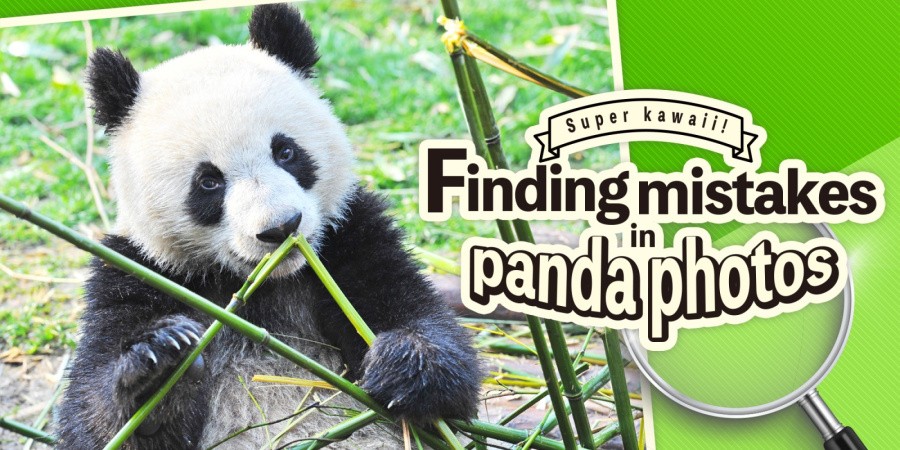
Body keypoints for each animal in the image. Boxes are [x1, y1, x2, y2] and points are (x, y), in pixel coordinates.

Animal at [54, 4, 482, 449]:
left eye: (286, 151)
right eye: (208, 181)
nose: (280, 227)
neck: (264, 285)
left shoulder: (351, 236)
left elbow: (438, 349)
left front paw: (404, 363)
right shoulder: (135, 272)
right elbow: (92, 419)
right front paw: (160, 361)